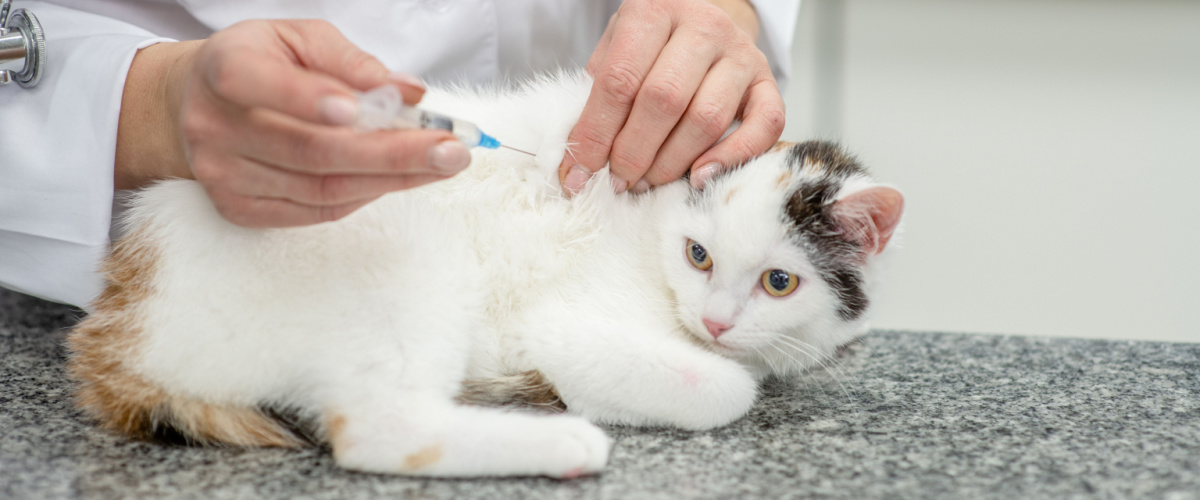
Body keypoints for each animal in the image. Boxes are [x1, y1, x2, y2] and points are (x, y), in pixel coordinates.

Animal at [68, 70, 902, 474]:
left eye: (779, 282)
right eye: (699, 255)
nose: (717, 320)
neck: (652, 229)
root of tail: (120, 326)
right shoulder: (561, 324)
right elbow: (724, 392)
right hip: (407, 256)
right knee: (380, 430)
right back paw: (562, 445)